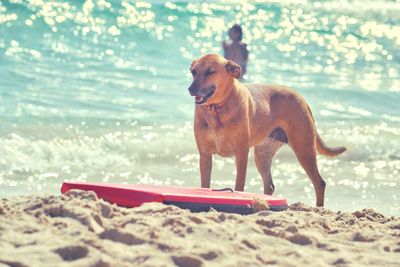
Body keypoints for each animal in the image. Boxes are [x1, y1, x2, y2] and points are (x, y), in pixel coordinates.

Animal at [188, 53, 346, 206]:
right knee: (269, 185)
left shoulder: (241, 153)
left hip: (304, 149)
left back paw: (318, 207)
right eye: (193, 72)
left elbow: (239, 185)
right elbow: (204, 184)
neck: (218, 109)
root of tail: (300, 97)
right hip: (263, 154)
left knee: (319, 183)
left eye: (210, 72)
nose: (190, 89)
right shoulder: (205, 156)